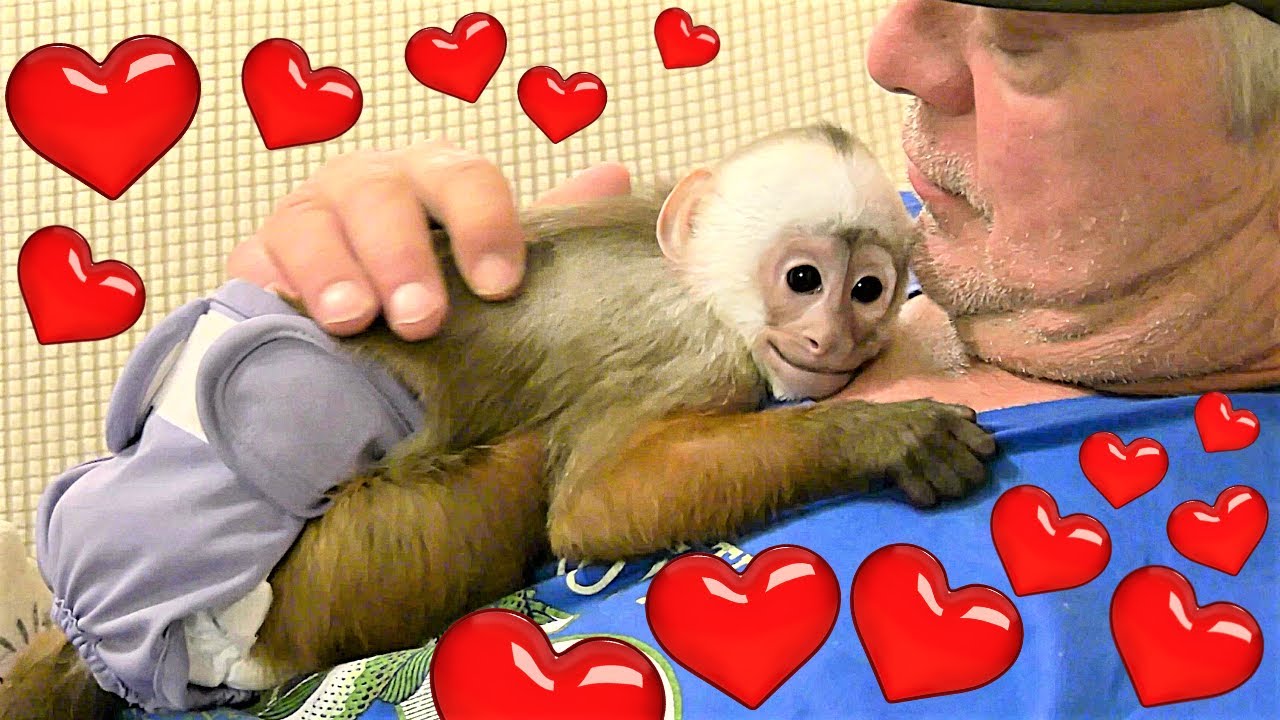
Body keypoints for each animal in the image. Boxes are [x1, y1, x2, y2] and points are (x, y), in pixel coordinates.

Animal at [1, 123, 995, 720]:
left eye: (868, 290)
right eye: (803, 279)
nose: (837, 336)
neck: (700, 286)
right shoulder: (696, 348)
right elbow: (592, 510)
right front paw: (881, 437)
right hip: (312, 580)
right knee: (518, 473)